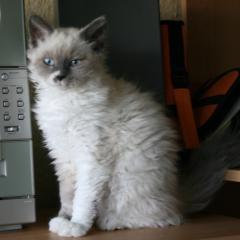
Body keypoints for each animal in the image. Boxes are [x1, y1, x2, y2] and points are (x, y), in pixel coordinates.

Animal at [28, 15, 182, 237]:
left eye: (74, 62)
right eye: (48, 62)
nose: (59, 77)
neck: (64, 100)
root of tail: (177, 206)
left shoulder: (91, 157)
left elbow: (82, 198)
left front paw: (75, 226)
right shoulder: (63, 157)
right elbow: (67, 195)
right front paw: (64, 218)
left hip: (124, 182)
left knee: (157, 219)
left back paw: (107, 223)